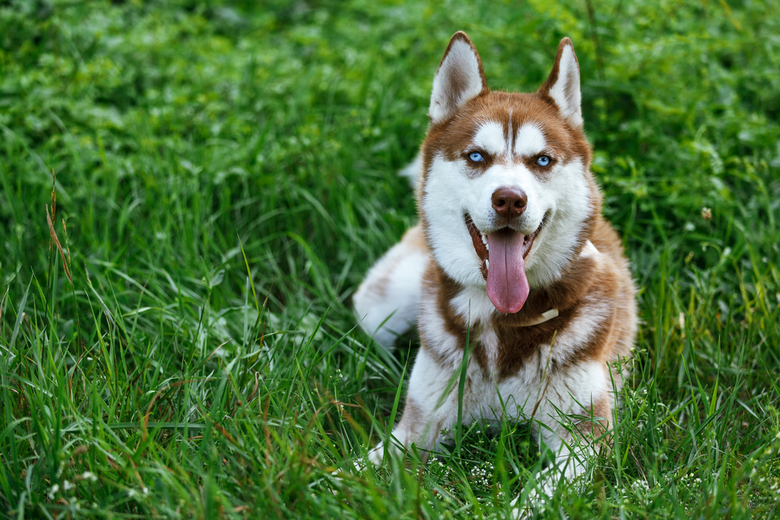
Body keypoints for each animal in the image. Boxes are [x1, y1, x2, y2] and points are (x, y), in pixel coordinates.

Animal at [354, 33, 632, 516]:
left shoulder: (581, 439)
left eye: (542, 160)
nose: (509, 200)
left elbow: (534, 498)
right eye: (476, 156)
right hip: (383, 303)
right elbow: (347, 473)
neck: (504, 322)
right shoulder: (417, 427)